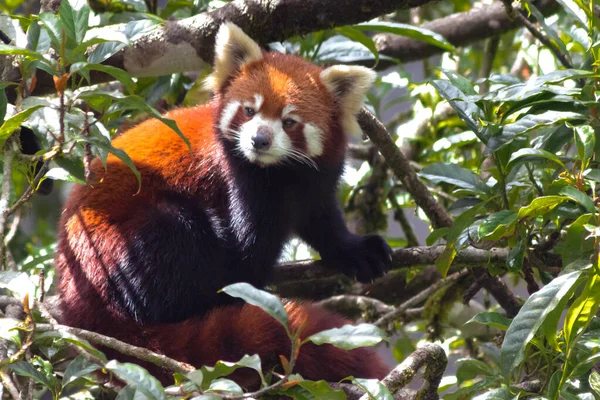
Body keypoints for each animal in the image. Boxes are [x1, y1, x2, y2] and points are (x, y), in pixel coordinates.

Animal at [56, 23, 392, 386]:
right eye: (249, 110)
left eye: (289, 121)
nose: (259, 140)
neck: (281, 172)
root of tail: (76, 303)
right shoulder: (237, 178)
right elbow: (246, 254)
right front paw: (246, 287)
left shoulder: (317, 180)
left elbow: (322, 222)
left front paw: (356, 250)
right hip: (117, 247)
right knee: (175, 230)